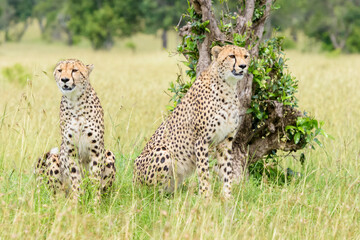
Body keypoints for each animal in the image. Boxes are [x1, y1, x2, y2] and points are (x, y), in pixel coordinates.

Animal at [34, 60, 116, 201]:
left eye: (74, 70)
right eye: (60, 70)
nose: (64, 79)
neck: (75, 101)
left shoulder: (96, 151)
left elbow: (95, 180)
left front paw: (95, 202)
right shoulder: (70, 152)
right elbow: (75, 179)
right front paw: (77, 201)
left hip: (109, 154)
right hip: (53, 158)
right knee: (58, 194)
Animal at [135, 45, 250, 199]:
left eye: (245, 56)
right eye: (232, 56)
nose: (243, 66)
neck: (228, 86)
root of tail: (133, 180)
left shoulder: (225, 140)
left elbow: (227, 170)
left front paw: (227, 196)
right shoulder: (201, 140)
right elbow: (204, 171)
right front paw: (206, 197)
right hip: (163, 152)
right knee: (152, 194)